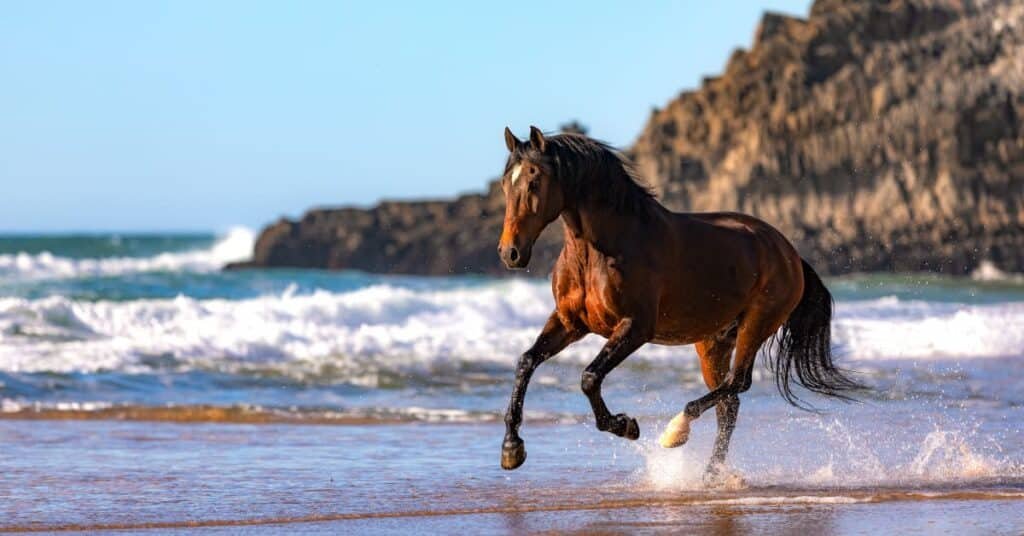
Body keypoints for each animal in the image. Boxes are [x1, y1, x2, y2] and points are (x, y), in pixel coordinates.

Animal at [496, 126, 862, 477]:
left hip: (756, 324)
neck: (605, 248)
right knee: (729, 403)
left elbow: (589, 377)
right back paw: (711, 474)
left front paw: (626, 426)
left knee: (737, 383)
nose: (510, 253)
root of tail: (789, 252)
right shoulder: (569, 322)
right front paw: (512, 449)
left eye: (534, 180)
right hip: (713, 342)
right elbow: (526, 362)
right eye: (504, 183)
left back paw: (676, 432)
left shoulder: (635, 328)